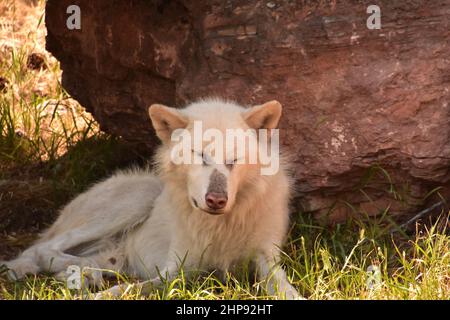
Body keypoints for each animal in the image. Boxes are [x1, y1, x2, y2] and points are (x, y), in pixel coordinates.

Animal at [1, 99, 302, 298]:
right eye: (199, 155)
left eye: (234, 160)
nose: (216, 200)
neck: (222, 226)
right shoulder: (176, 270)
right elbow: (125, 290)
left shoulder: (267, 260)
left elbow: (287, 290)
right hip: (139, 197)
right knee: (42, 249)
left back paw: (84, 273)